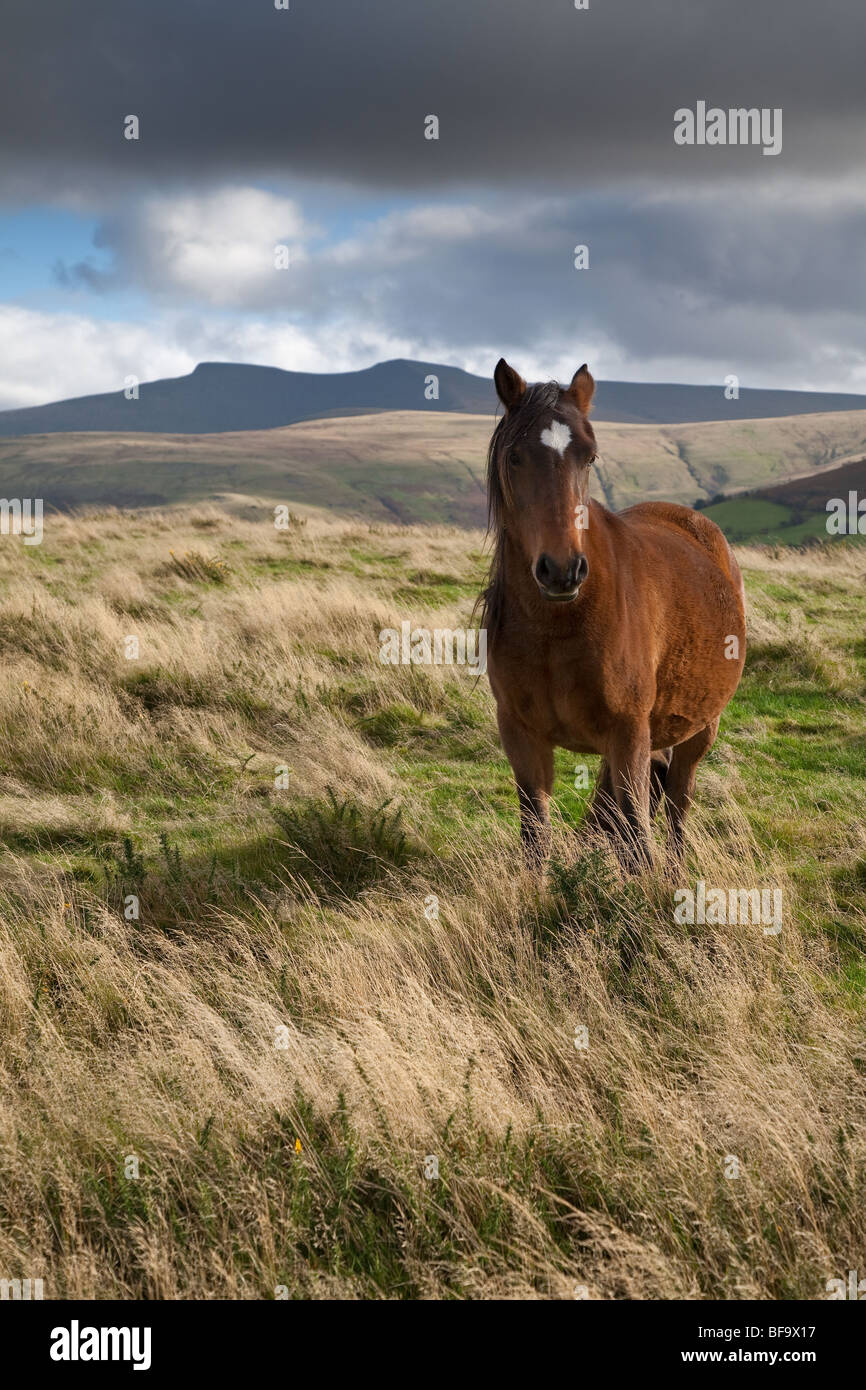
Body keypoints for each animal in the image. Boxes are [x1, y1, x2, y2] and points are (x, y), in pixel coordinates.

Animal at [483, 361, 750, 867]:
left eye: (589, 457)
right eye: (515, 457)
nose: (562, 570)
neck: (559, 625)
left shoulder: (628, 735)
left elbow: (639, 842)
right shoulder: (522, 736)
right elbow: (536, 840)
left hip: (698, 730)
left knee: (677, 809)